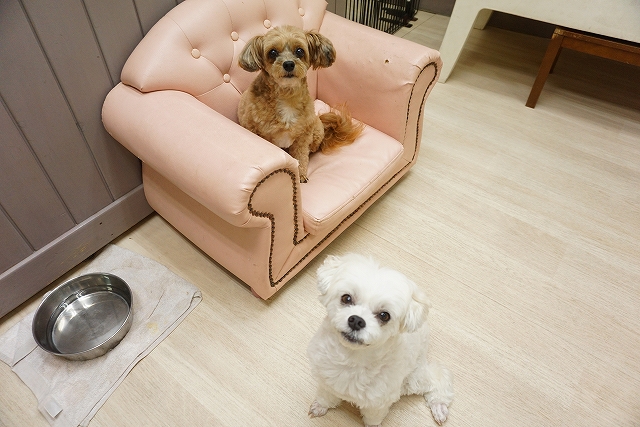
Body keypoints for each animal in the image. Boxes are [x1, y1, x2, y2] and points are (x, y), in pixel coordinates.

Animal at [237, 25, 363, 182]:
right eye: (272, 52)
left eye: (299, 51)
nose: (289, 64)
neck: (287, 96)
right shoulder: (258, 133)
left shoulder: (303, 136)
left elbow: (301, 156)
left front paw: (301, 175)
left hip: (316, 131)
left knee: (312, 148)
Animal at [307, 254, 454, 426]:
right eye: (346, 298)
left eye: (384, 315)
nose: (356, 321)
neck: (352, 358)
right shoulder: (327, 381)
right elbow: (326, 396)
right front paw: (321, 406)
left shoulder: (378, 402)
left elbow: (373, 418)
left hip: (412, 378)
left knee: (439, 376)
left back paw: (439, 405)